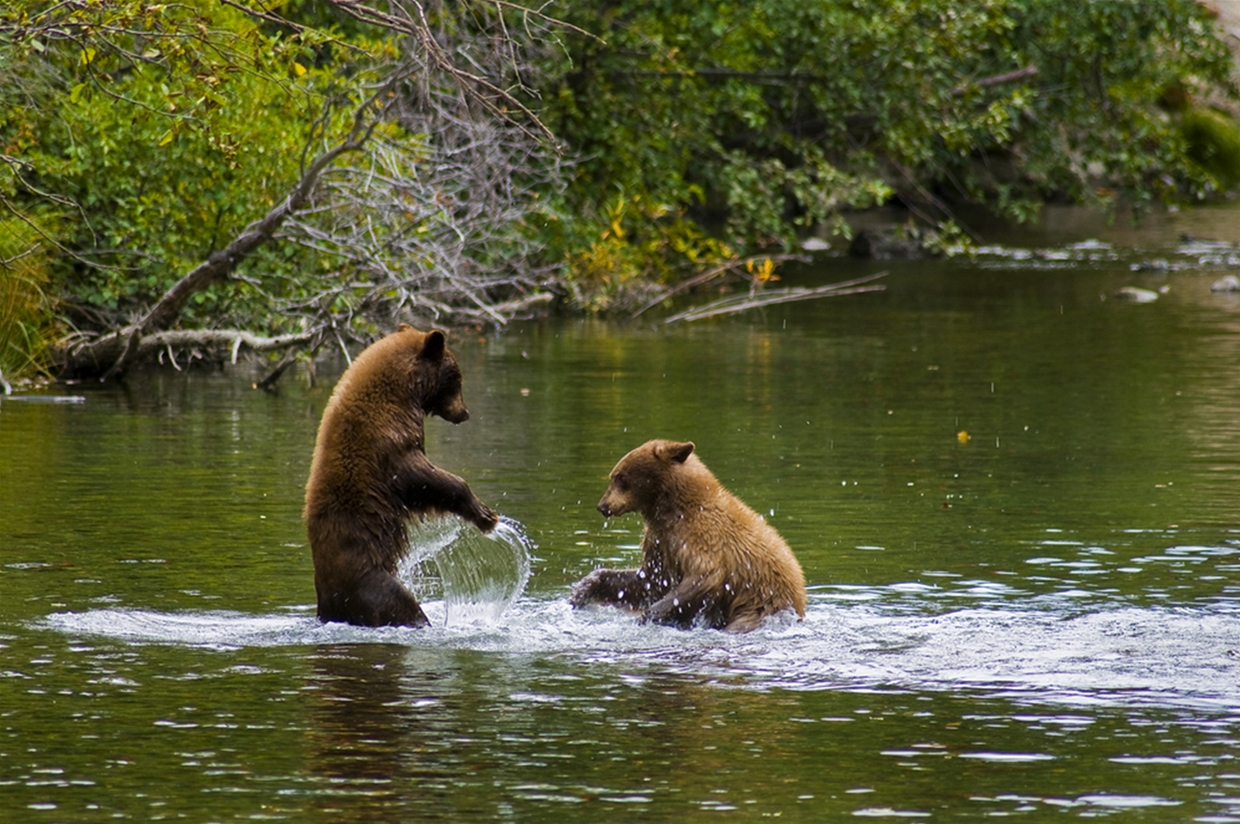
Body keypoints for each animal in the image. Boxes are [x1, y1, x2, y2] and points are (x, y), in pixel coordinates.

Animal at [304, 324, 499, 628]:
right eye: (457, 378)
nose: (464, 413)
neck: (402, 394)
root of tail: (330, 597)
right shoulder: (388, 441)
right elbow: (423, 478)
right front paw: (485, 514)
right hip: (376, 586)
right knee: (403, 605)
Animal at [570, 439, 806, 632]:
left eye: (621, 477)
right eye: (614, 476)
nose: (603, 506)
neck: (675, 509)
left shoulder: (702, 537)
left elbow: (702, 577)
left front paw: (647, 617)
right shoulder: (660, 541)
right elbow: (648, 580)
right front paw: (581, 591)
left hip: (760, 607)